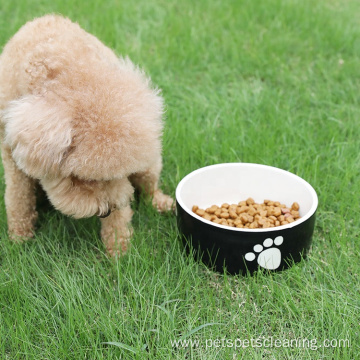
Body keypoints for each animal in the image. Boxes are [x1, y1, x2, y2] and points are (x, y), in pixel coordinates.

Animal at [0, 14, 174, 256]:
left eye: (117, 174)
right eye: (83, 178)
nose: (107, 209)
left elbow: (120, 217)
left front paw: (119, 252)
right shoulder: (10, 152)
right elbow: (18, 196)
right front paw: (19, 239)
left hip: (148, 167)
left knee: (149, 188)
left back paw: (162, 203)